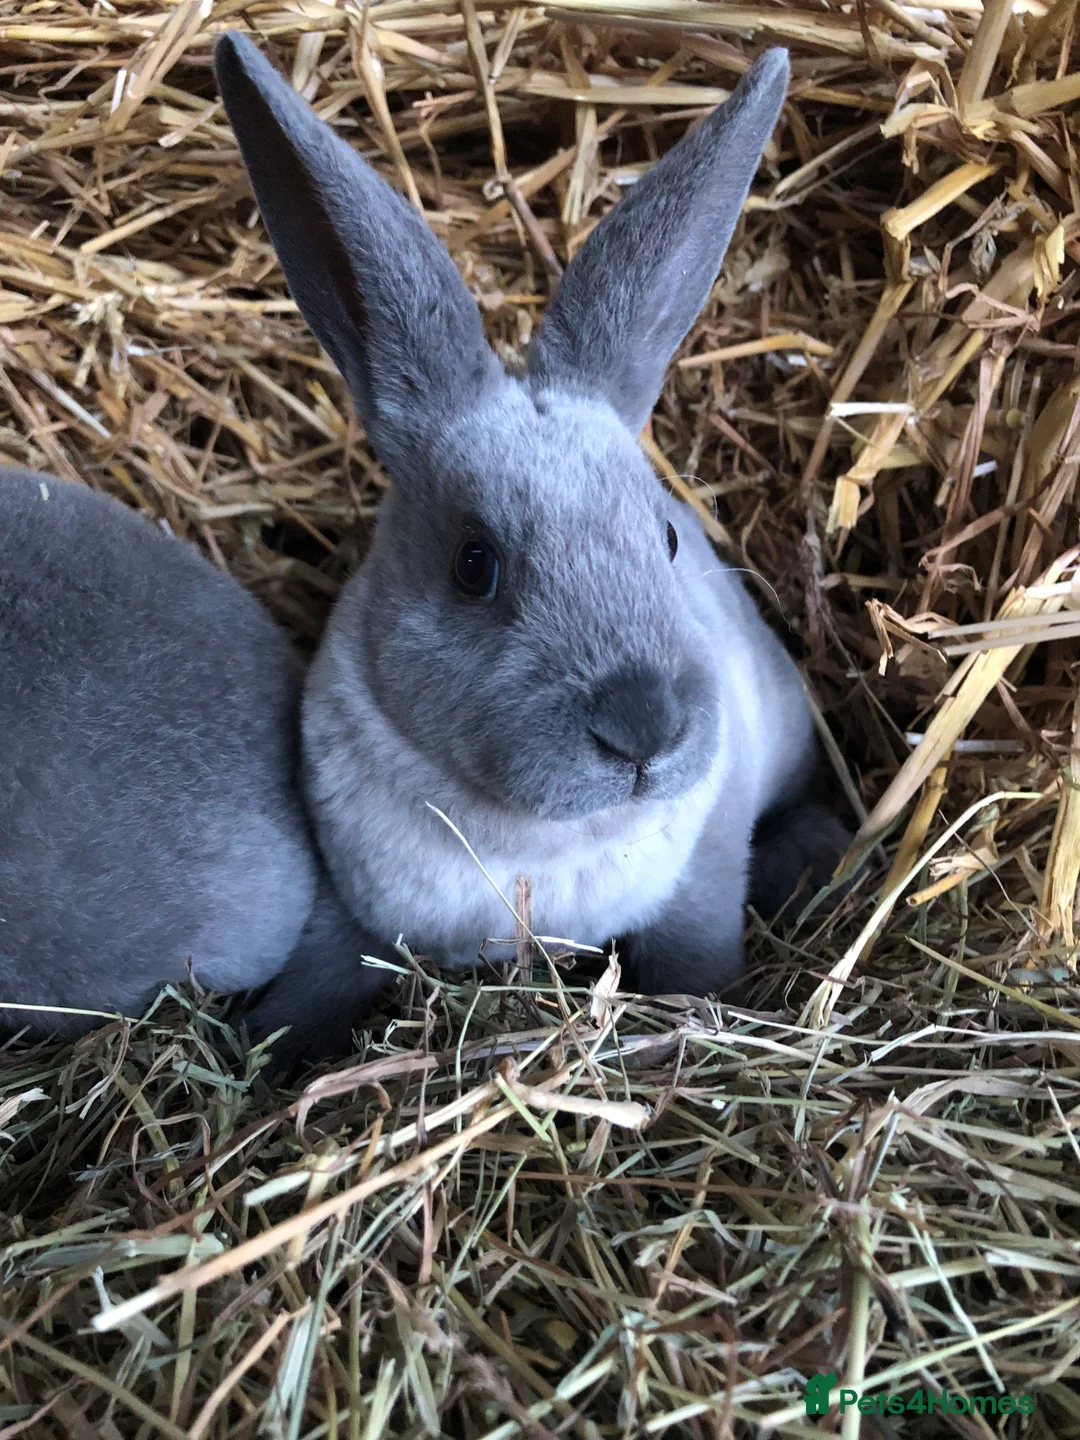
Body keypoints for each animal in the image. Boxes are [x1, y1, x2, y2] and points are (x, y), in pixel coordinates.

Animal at [215, 33, 853, 1057]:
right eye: (474, 566)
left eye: (665, 538)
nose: (644, 729)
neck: (530, 842)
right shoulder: (348, 911)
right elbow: (316, 978)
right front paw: (276, 1050)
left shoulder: (701, 881)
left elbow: (694, 956)